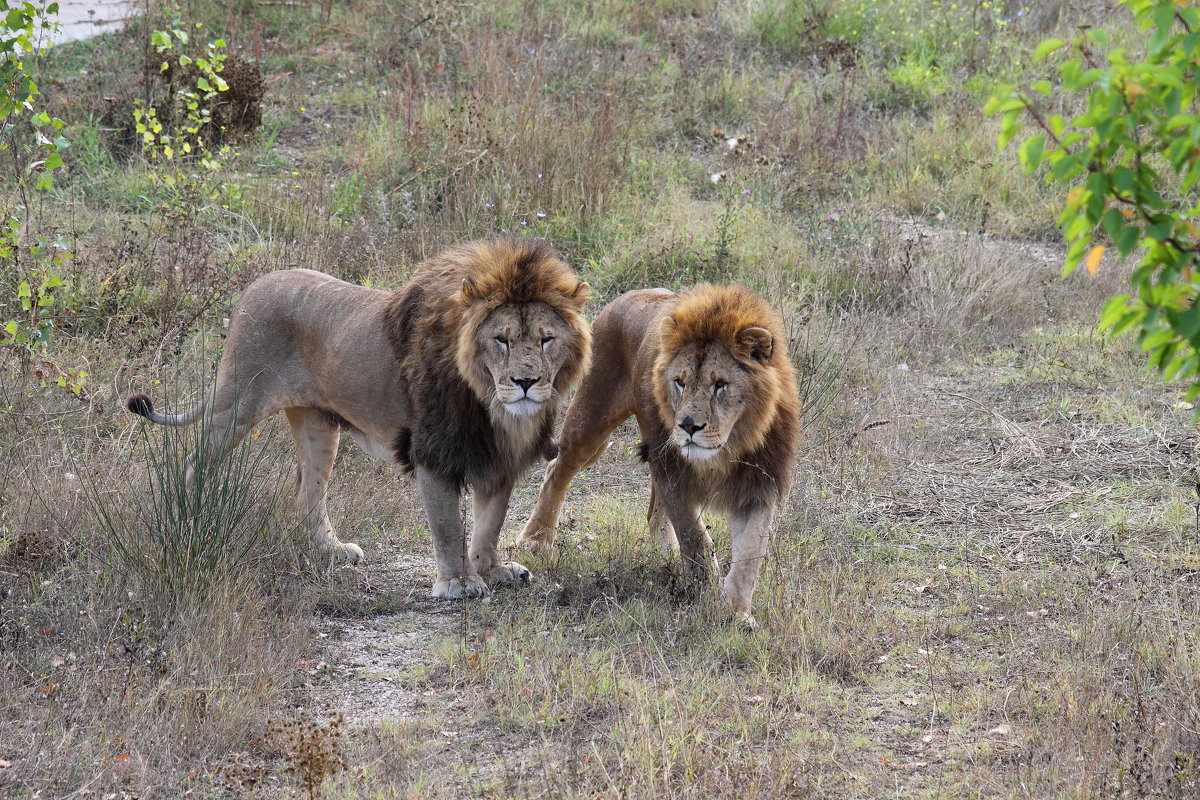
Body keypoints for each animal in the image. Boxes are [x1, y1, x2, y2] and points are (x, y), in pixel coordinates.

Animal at [126, 239, 590, 599]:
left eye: (546, 340)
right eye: (501, 340)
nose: (526, 381)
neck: (491, 403)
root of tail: (252, 287)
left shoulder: (498, 456)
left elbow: (490, 522)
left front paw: (492, 570)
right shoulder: (433, 451)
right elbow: (448, 525)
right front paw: (459, 583)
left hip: (317, 425)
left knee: (307, 495)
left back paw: (332, 552)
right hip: (237, 403)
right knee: (193, 465)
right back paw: (191, 524)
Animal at [516, 284, 796, 628]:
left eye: (721, 385)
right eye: (680, 382)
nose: (688, 426)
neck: (727, 448)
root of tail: (631, 294)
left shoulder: (759, 486)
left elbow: (748, 558)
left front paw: (737, 615)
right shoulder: (676, 476)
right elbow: (696, 541)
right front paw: (706, 598)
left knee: (654, 511)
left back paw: (665, 552)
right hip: (593, 422)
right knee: (557, 468)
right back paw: (535, 540)